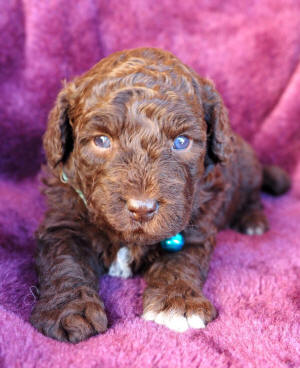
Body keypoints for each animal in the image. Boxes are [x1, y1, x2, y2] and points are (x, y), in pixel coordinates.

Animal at [29, 48, 290, 342]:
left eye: (181, 142)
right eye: (101, 140)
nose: (142, 208)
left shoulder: (195, 225)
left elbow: (179, 262)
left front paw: (178, 303)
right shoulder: (63, 222)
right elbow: (65, 261)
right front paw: (69, 310)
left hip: (246, 168)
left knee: (253, 195)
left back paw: (253, 221)